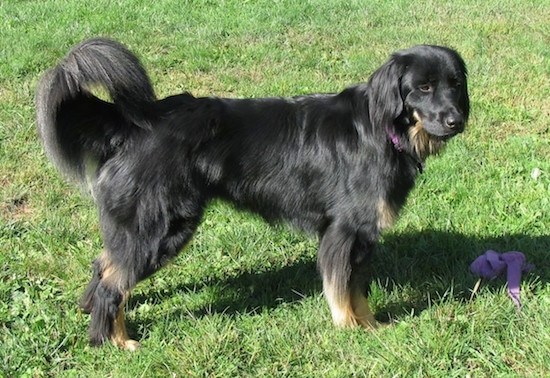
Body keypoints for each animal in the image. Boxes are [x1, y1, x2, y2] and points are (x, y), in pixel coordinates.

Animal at [36, 37, 472, 348]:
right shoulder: (345, 231)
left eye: (455, 84)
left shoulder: (363, 237)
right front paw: (349, 329)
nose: (457, 120)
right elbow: (341, 287)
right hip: (158, 228)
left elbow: (358, 288)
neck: (382, 129)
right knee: (112, 284)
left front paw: (370, 326)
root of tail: (129, 126)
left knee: (103, 266)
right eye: (423, 87)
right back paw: (113, 341)